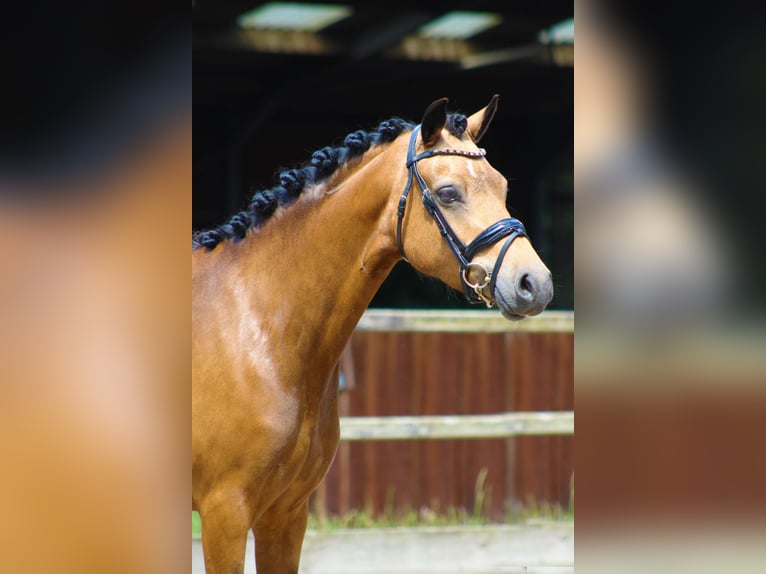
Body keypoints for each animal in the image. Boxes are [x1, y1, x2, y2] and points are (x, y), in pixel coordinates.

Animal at [192, 97, 552, 572]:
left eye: (503, 186)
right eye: (448, 193)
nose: (535, 283)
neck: (257, 327)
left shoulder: (285, 514)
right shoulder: (225, 514)